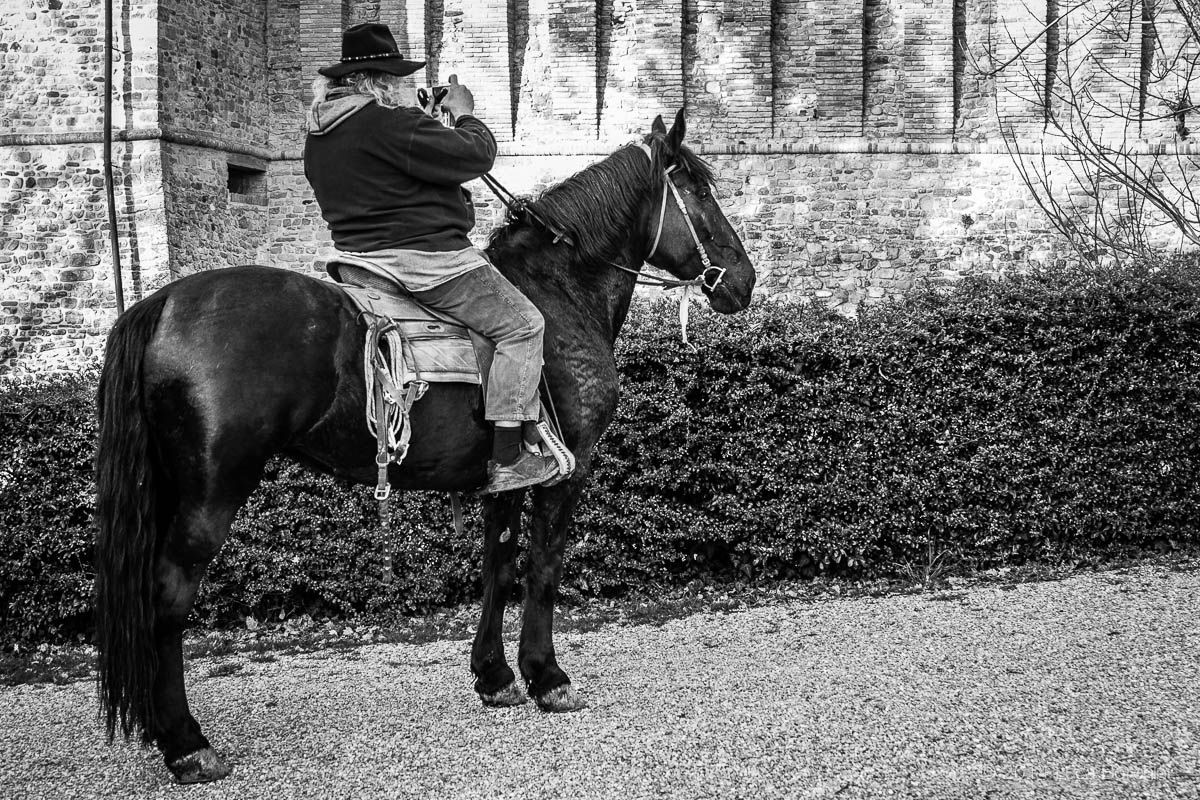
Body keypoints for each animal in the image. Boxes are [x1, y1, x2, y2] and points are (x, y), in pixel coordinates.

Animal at [94, 110, 756, 783]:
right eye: (698, 189)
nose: (744, 279)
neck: (559, 293)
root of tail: (163, 301)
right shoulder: (568, 471)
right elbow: (543, 568)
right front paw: (546, 676)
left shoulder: (507, 478)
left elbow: (499, 565)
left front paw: (494, 674)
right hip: (211, 493)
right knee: (167, 598)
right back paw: (185, 740)